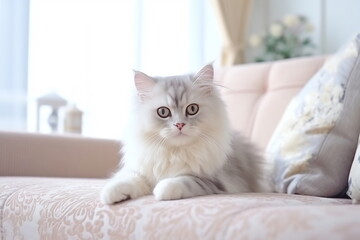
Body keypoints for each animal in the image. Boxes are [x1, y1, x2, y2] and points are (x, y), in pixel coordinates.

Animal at [100, 62, 270, 203]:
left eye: (192, 109)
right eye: (163, 112)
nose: (179, 124)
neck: (175, 153)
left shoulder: (217, 180)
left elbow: (184, 180)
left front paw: (162, 190)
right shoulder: (141, 169)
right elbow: (127, 178)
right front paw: (111, 194)